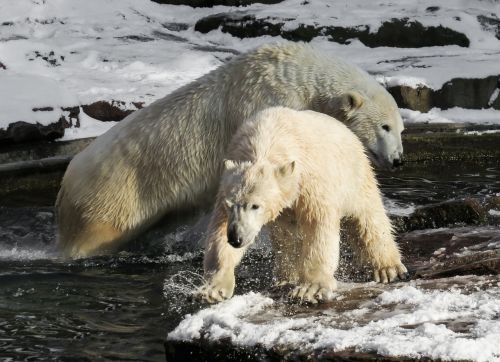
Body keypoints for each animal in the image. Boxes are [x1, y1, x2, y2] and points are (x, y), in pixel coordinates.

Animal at [56, 41, 404, 258]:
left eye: (400, 128)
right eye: (384, 127)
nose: (398, 160)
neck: (296, 78)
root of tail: (65, 184)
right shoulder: (266, 102)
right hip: (114, 196)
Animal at [197, 107, 408, 302]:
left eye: (255, 206)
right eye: (230, 204)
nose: (236, 239)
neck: (265, 140)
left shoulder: (310, 180)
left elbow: (318, 227)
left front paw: (310, 289)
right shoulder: (226, 186)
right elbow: (219, 231)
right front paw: (212, 290)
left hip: (355, 176)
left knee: (368, 219)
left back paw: (389, 268)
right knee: (286, 238)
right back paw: (284, 278)